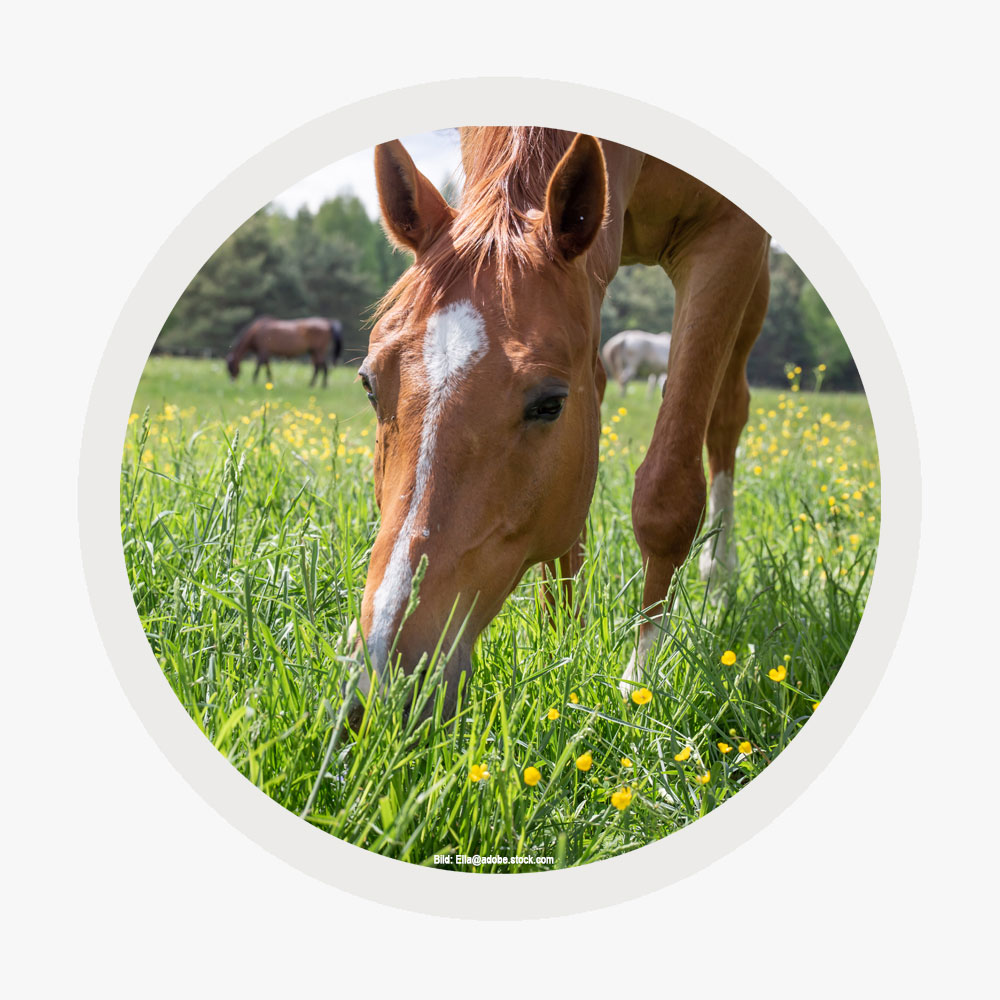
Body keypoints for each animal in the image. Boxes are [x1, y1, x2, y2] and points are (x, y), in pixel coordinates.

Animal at [355, 127, 770, 712]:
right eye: (370, 384)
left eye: (549, 404)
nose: (385, 675)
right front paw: (561, 645)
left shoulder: (730, 237)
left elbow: (668, 497)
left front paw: (639, 682)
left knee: (727, 416)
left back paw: (719, 575)